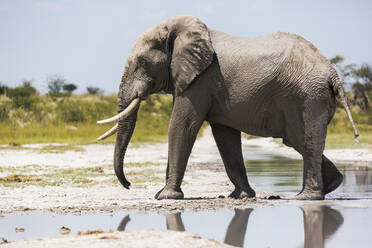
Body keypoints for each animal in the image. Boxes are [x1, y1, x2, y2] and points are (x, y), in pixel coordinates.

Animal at [97, 15, 358, 201]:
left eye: (141, 62)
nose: (129, 185)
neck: (181, 30)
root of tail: (332, 72)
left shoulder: (201, 80)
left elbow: (182, 126)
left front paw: (166, 197)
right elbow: (225, 136)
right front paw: (240, 197)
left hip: (308, 96)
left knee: (305, 140)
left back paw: (307, 197)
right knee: (296, 140)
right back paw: (332, 184)